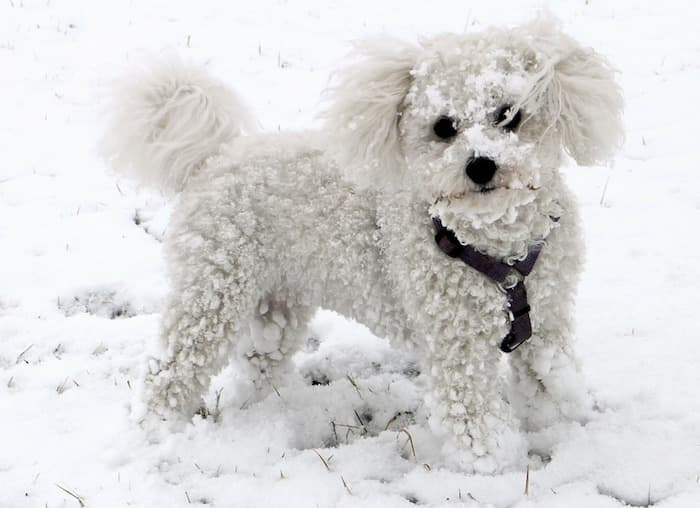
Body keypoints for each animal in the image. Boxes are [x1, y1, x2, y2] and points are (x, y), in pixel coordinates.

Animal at [105, 19, 624, 472]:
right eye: (443, 127)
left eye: (509, 116)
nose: (480, 165)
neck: (498, 248)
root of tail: (216, 157)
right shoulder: (455, 346)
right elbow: (473, 415)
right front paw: (495, 467)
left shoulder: (548, 322)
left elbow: (546, 382)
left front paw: (556, 427)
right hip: (211, 293)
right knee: (169, 369)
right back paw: (157, 431)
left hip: (277, 300)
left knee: (258, 363)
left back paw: (266, 413)